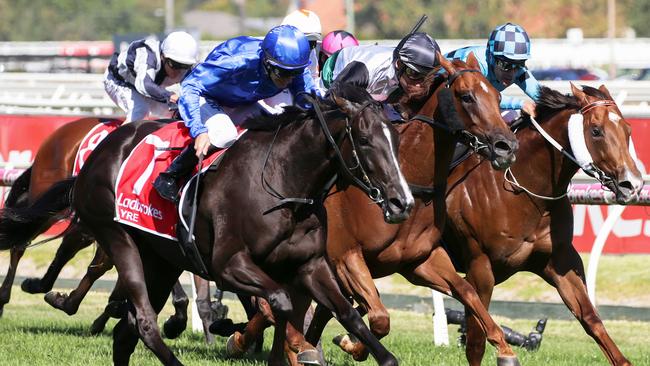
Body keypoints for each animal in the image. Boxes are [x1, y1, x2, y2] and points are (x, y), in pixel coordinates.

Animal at [1, 83, 410, 366]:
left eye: (395, 138)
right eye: (364, 140)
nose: (401, 202)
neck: (283, 183)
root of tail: (97, 155)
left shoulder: (310, 265)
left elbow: (346, 314)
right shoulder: (227, 264)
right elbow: (279, 302)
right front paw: (241, 335)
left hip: (160, 260)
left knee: (126, 330)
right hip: (118, 238)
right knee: (142, 321)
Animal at [225, 53, 520, 364]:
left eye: (498, 97)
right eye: (466, 96)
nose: (507, 146)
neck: (409, 179)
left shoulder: (420, 261)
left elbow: (467, 291)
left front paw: (505, 348)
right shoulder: (344, 257)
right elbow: (378, 317)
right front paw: (350, 344)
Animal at [442, 83, 640, 366]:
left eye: (627, 129)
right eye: (596, 131)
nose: (632, 184)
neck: (523, 191)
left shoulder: (560, 261)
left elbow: (592, 319)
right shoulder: (479, 267)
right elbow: (476, 341)